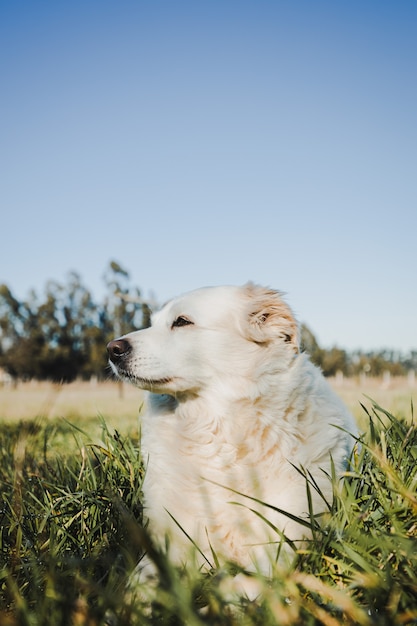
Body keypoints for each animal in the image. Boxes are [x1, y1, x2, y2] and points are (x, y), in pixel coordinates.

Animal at [106, 282, 354, 584]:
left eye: (182, 321)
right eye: (152, 323)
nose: (112, 349)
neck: (217, 434)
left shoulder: (289, 536)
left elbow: (255, 581)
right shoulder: (172, 536)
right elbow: (142, 577)